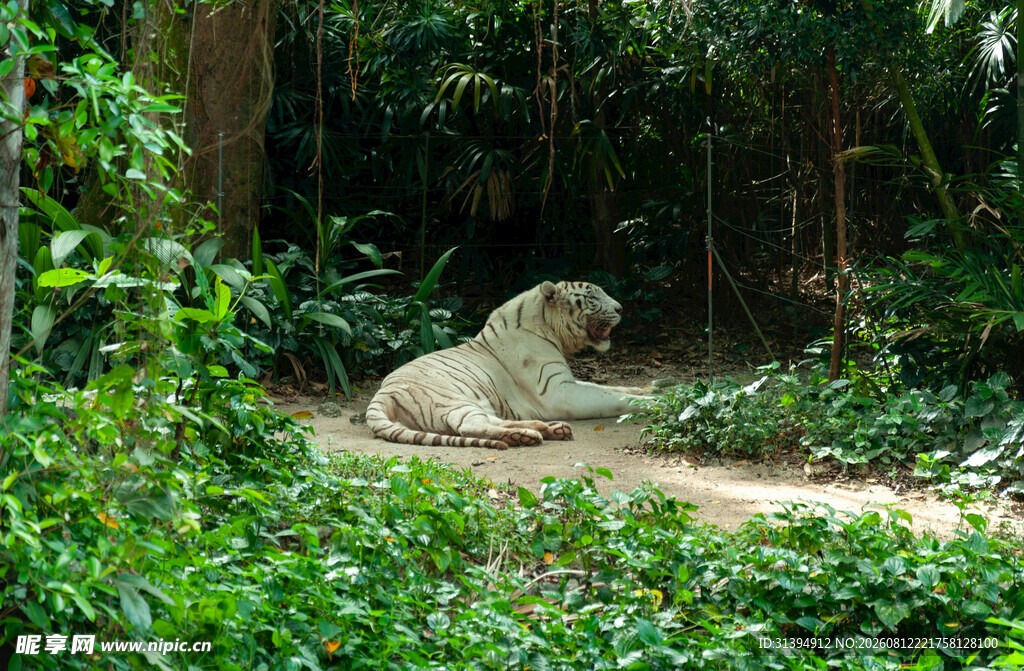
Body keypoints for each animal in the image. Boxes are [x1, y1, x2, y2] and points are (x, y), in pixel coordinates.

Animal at [365, 280, 651, 450]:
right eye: (592, 297)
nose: (621, 308)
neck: (548, 325)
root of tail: (380, 395)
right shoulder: (557, 391)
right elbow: (612, 398)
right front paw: (654, 402)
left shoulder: (567, 381)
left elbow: (612, 388)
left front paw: (653, 389)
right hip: (452, 399)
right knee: (468, 425)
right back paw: (528, 435)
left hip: (479, 402)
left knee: (489, 421)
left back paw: (544, 430)